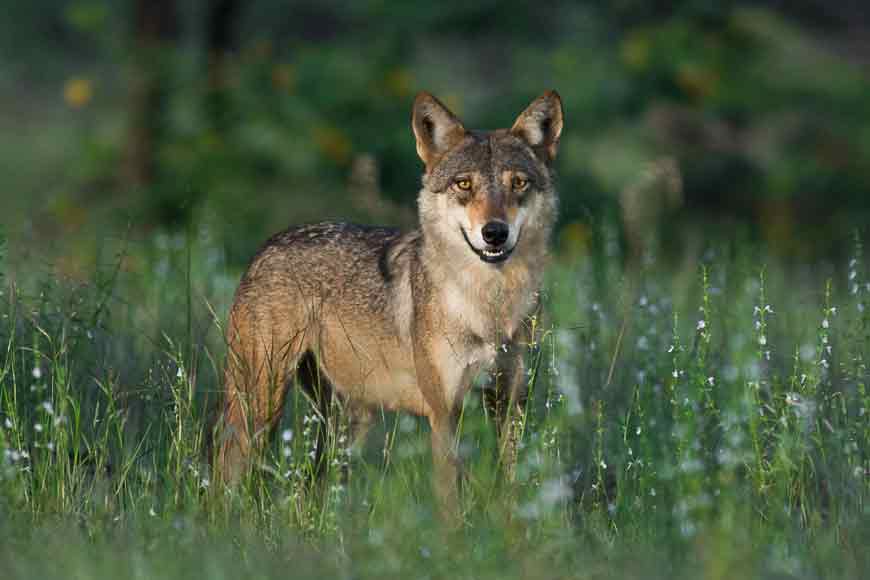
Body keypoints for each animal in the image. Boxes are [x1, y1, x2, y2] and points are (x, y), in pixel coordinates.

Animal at [217, 90, 563, 517]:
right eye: (464, 184)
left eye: (519, 183)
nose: (494, 233)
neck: (489, 307)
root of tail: (265, 247)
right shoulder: (443, 413)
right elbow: (451, 504)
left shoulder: (509, 405)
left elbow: (509, 487)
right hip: (260, 406)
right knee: (226, 471)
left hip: (345, 422)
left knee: (313, 485)